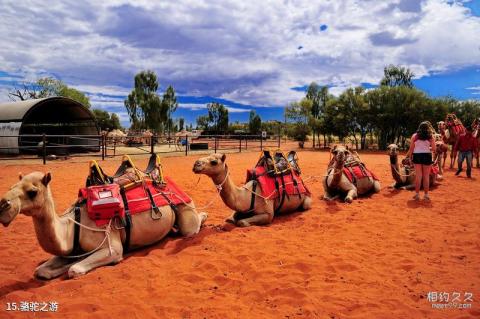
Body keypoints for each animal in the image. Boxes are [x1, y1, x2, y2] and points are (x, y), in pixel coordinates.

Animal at [0, 172, 206, 280]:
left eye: (32, 192)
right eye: (12, 186)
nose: (3, 205)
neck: (73, 225)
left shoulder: (111, 246)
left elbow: (75, 269)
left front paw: (72, 266)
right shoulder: (71, 249)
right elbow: (41, 270)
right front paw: (55, 269)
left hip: (184, 208)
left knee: (192, 225)